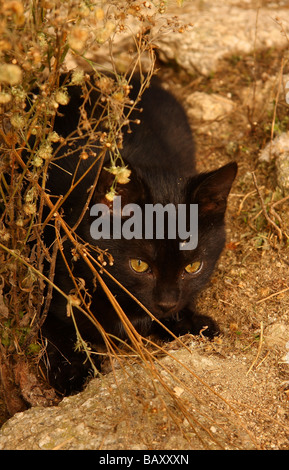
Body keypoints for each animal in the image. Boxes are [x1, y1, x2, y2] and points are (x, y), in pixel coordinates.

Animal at [42, 76, 236, 392]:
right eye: (139, 265)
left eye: (193, 267)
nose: (166, 303)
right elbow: (57, 332)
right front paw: (73, 372)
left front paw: (197, 325)